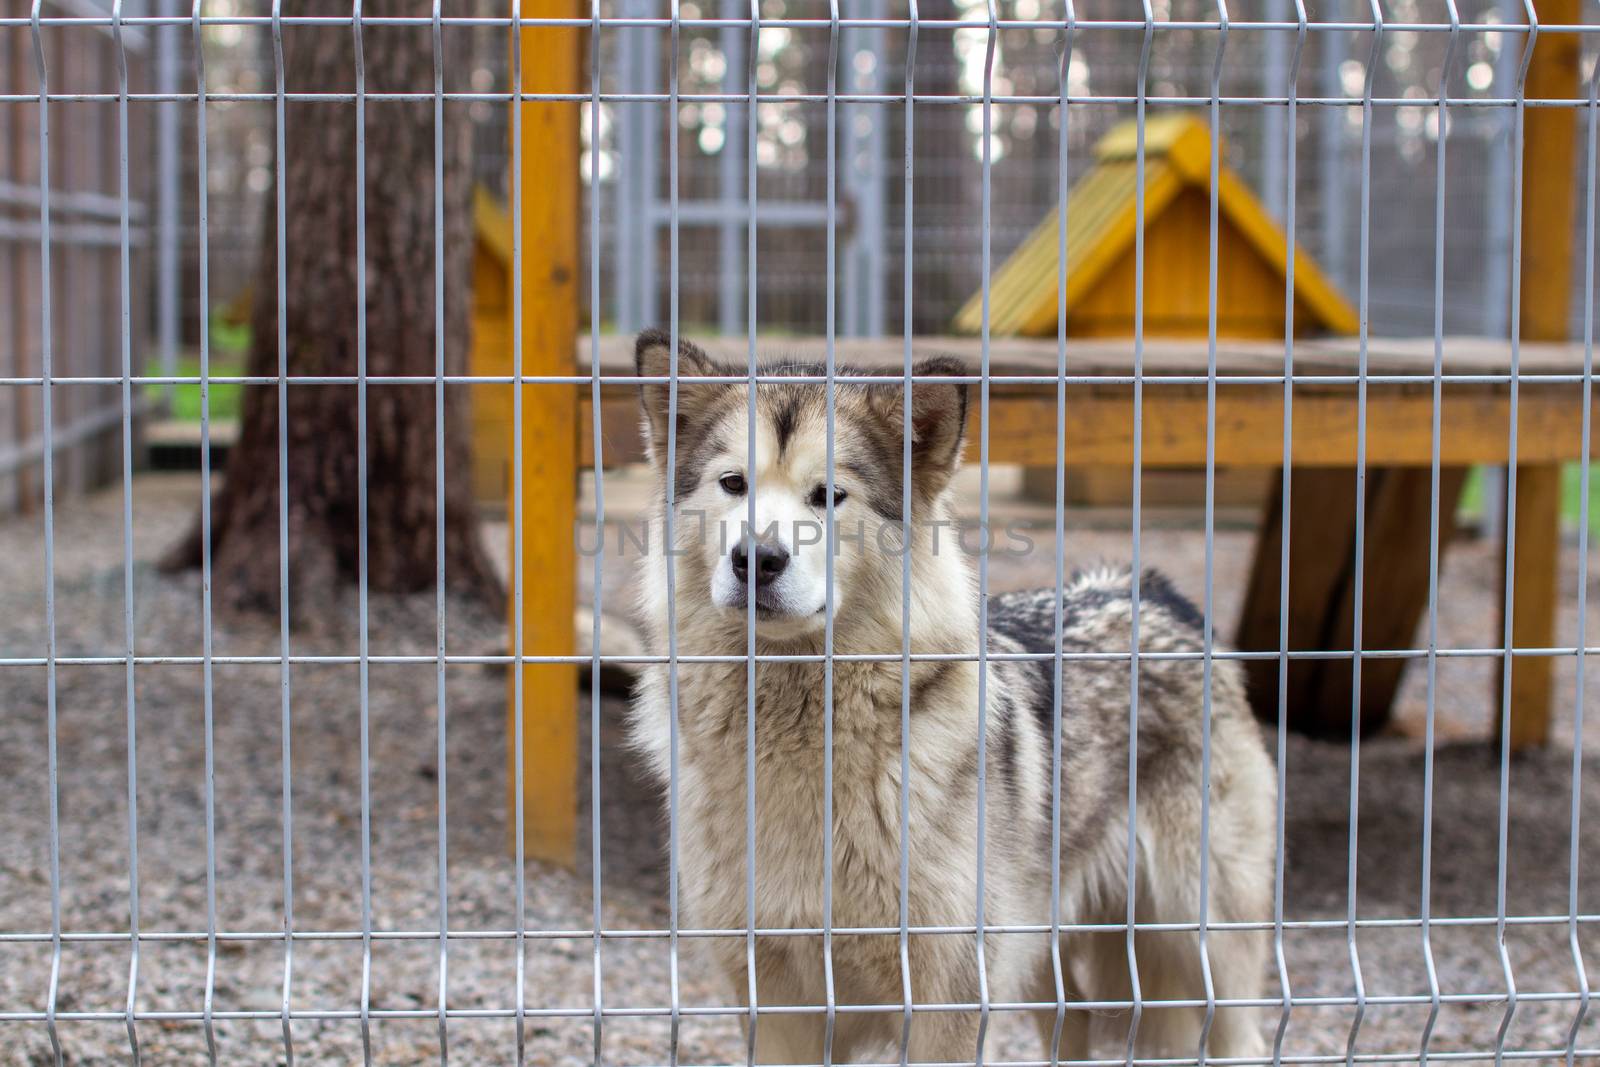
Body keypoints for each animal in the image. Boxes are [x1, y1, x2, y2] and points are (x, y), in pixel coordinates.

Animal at [624, 329, 1273, 1062]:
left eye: (829, 495)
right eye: (733, 484)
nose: (755, 559)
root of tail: (1151, 590)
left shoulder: (949, 997)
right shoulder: (776, 1000)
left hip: (1200, 941)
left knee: (1242, 1036)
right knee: (1075, 1017)